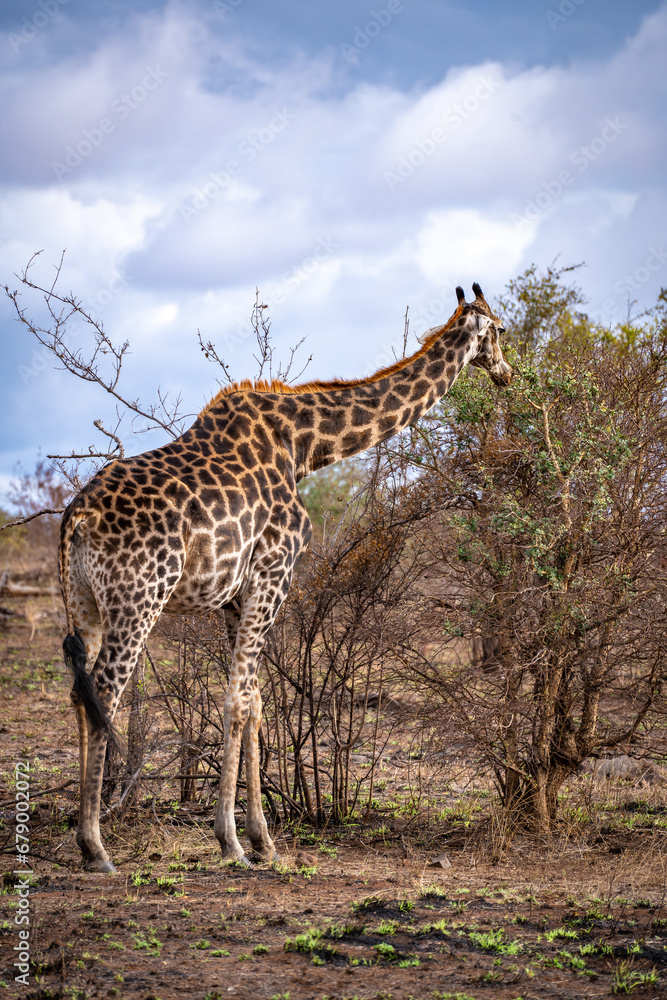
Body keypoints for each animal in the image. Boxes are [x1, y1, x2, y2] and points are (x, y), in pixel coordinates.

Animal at [59, 282, 512, 872]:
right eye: (499, 329)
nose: (507, 372)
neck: (304, 447)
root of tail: (77, 517)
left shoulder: (234, 597)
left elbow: (255, 701)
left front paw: (262, 839)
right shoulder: (273, 574)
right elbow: (239, 700)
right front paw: (232, 841)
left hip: (84, 603)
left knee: (79, 691)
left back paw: (85, 838)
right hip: (140, 599)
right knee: (107, 693)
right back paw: (96, 848)